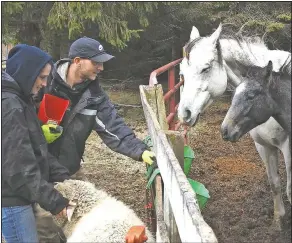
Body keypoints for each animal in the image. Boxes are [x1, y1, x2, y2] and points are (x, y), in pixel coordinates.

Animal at [177, 23, 290, 231]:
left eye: (205, 68)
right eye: (182, 73)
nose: (184, 113)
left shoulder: (287, 147)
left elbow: (289, 189)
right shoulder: (264, 146)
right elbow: (275, 183)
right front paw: (278, 221)